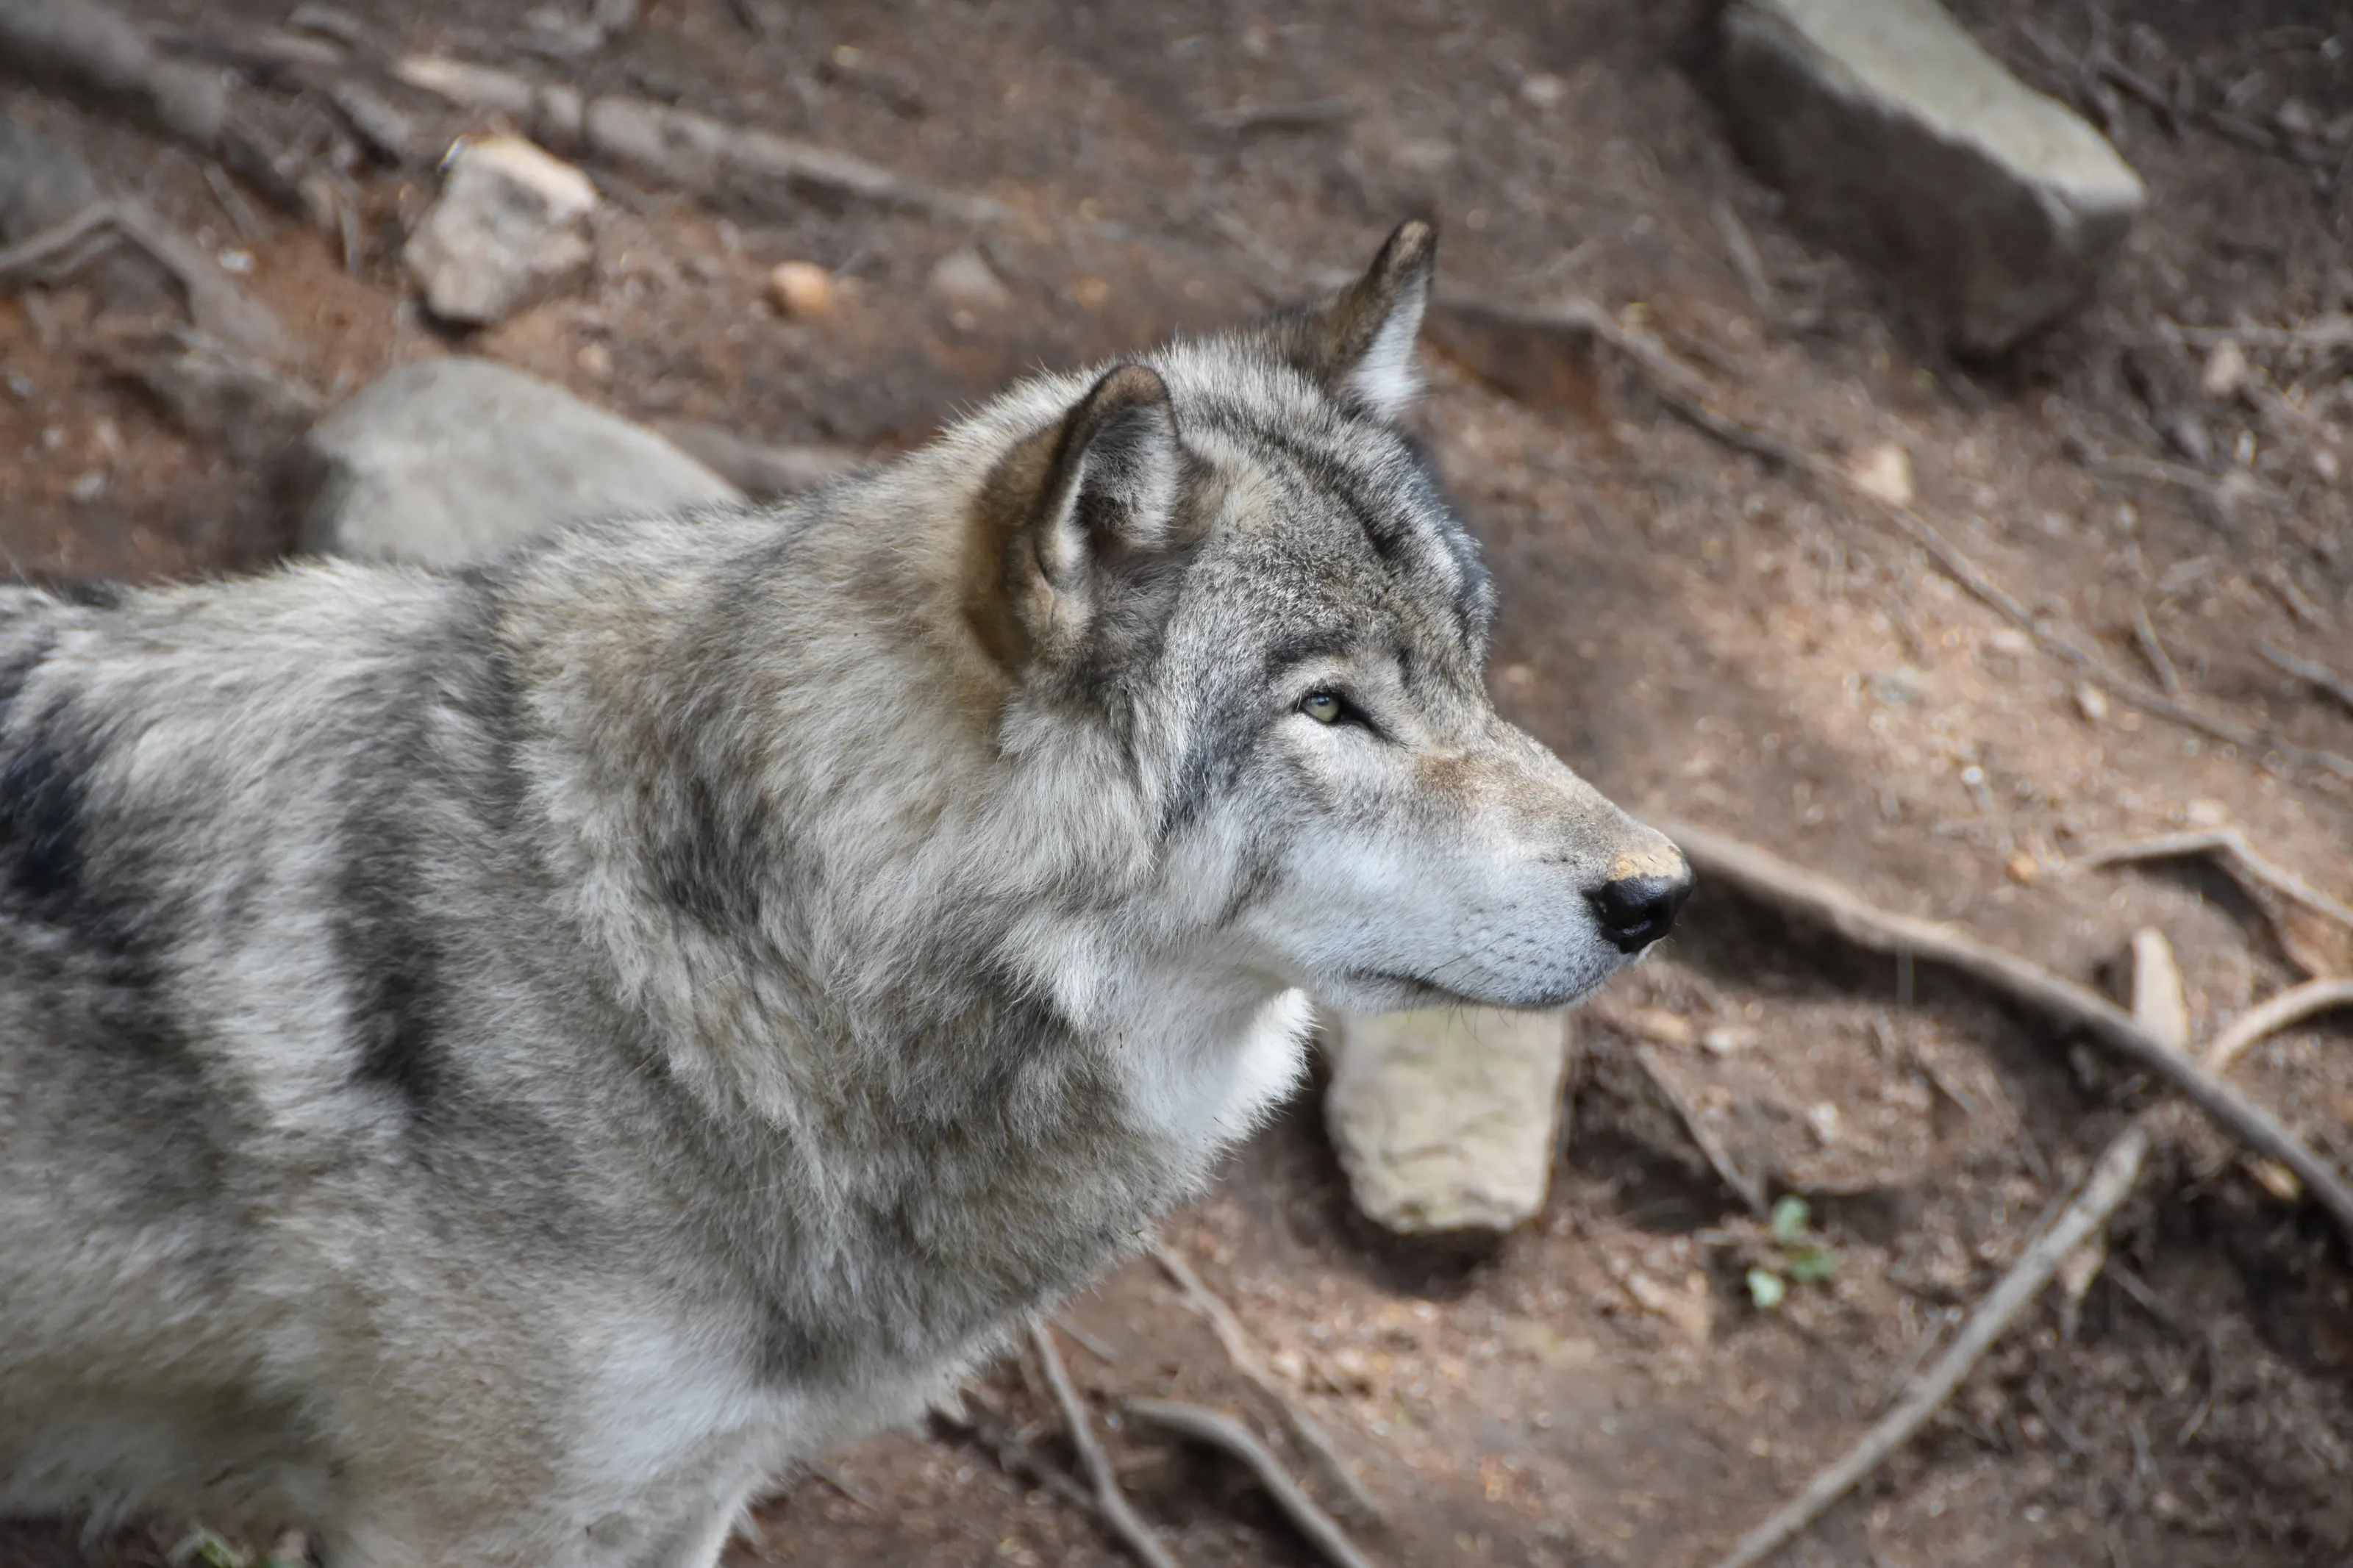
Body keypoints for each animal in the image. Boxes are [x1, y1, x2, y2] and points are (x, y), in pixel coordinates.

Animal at [0, 221, 1691, 1566]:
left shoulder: (687, 1493)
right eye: (1330, 710)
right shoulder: (449, 1521)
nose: (1660, 890)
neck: (745, 952)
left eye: (1469, 665)